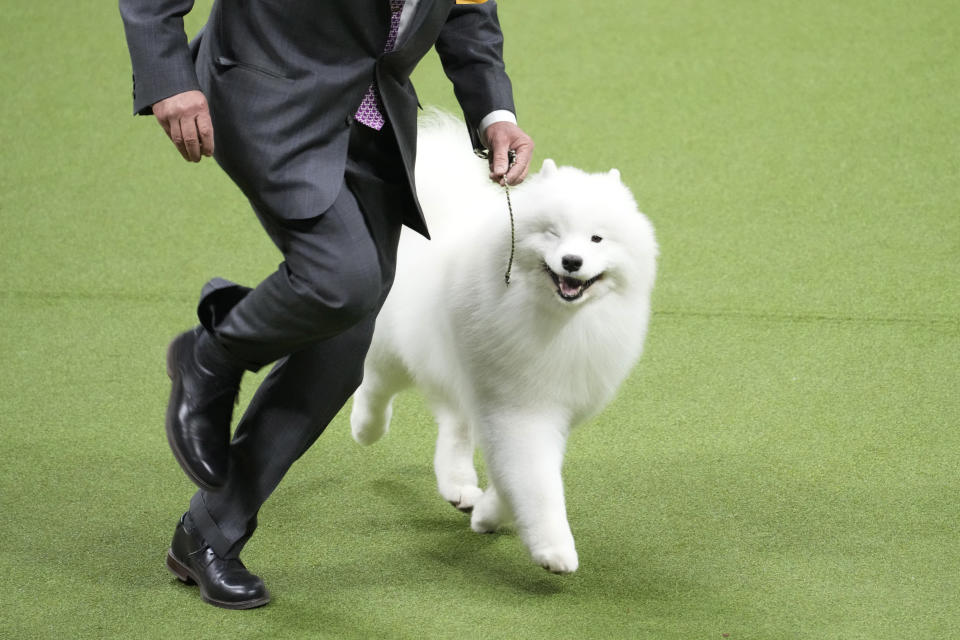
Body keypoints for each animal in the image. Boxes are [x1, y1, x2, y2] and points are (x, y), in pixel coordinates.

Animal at [352, 111, 660, 576]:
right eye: (552, 234)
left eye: (596, 239)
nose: (572, 262)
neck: (559, 320)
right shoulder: (519, 408)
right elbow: (535, 481)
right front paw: (554, 549)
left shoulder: (548, 405)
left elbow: (510, 476)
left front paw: (488, 515)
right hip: (401, 347)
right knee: (374, 381)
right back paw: (366, 428)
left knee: (454, 422)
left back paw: (459, 484)